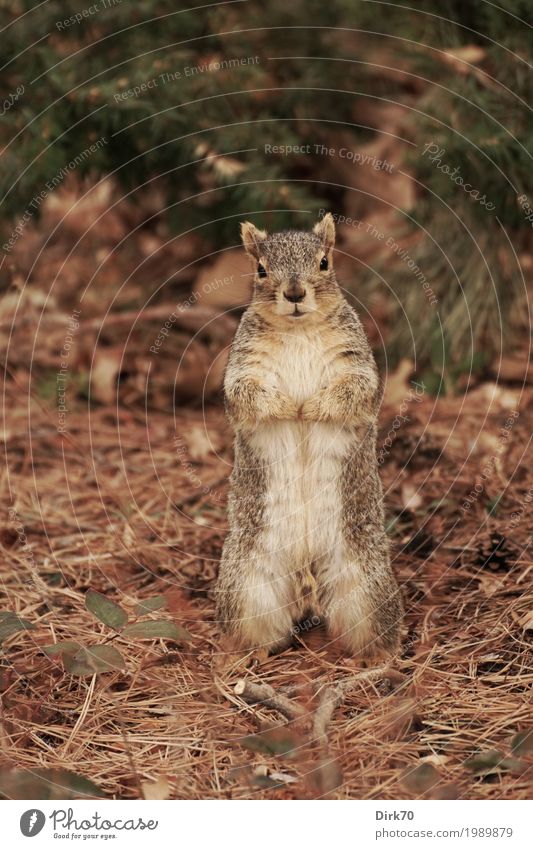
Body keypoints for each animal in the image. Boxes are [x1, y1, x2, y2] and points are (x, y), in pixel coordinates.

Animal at [214, 214, 402, 664]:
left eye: (324, 262)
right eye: (260, 269)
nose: (295, 293)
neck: (298, 330)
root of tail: (306, 572)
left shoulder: (356, 364)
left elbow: (355, 391)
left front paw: (311, 408)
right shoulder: (243, 366)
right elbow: (245, 395)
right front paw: (289, 406)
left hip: (367, 587)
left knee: (368, 630)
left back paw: (377, 661)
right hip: (247, 587)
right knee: (256, 630)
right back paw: (243, 658)